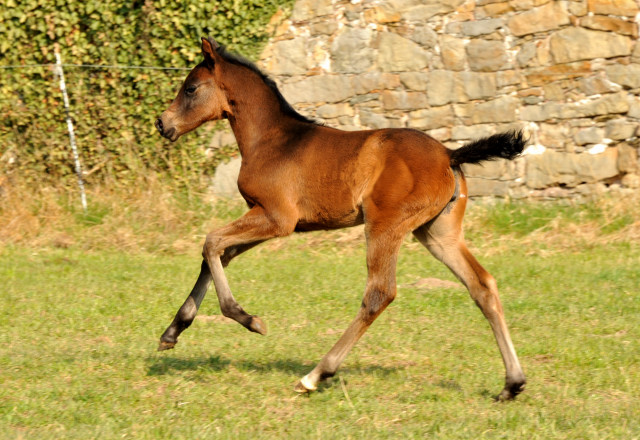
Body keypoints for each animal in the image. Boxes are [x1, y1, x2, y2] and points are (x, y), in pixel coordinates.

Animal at [154, 37, 524, 400]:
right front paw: (172, 331)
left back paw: (315, 375)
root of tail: (450, 154)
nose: (162, 123)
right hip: (438, 233)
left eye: (191, 88)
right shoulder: (269, 219)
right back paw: (513, 383)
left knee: (379, 293)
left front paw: (248, 319)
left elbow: (211, 242)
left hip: (385, 226)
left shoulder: (276, 218)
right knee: (482, 285)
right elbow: (217, 254)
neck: (273, 139)